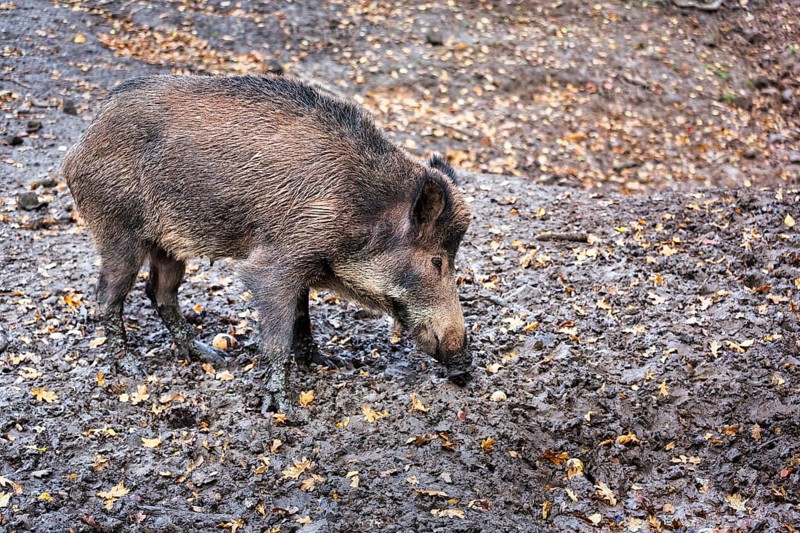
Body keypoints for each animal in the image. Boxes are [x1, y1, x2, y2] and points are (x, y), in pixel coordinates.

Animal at [62, 75, 472, 413]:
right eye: (437, 261)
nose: (466, 366)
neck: (361, 211)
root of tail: (79, 146)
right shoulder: (277, 263)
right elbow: (278, 334)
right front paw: (283, 408)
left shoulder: (304, 266)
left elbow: (302, 318)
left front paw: (329, 363)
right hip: (118, 230)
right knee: (107, 297)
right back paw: (130, 367)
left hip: (168, 246)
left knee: (160, 292)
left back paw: (208, 356)